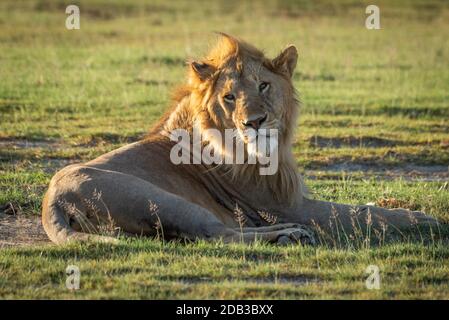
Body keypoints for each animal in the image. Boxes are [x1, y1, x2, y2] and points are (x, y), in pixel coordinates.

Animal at [40, 33, 436, 245]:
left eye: (264, 86)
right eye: (229, 97)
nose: (254, 122)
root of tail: (52, 202)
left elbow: (365, 209)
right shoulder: (286, 204)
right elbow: (364, 214)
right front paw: (427, 220)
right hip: (166, 200)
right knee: (220, 235)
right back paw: (291, 234)